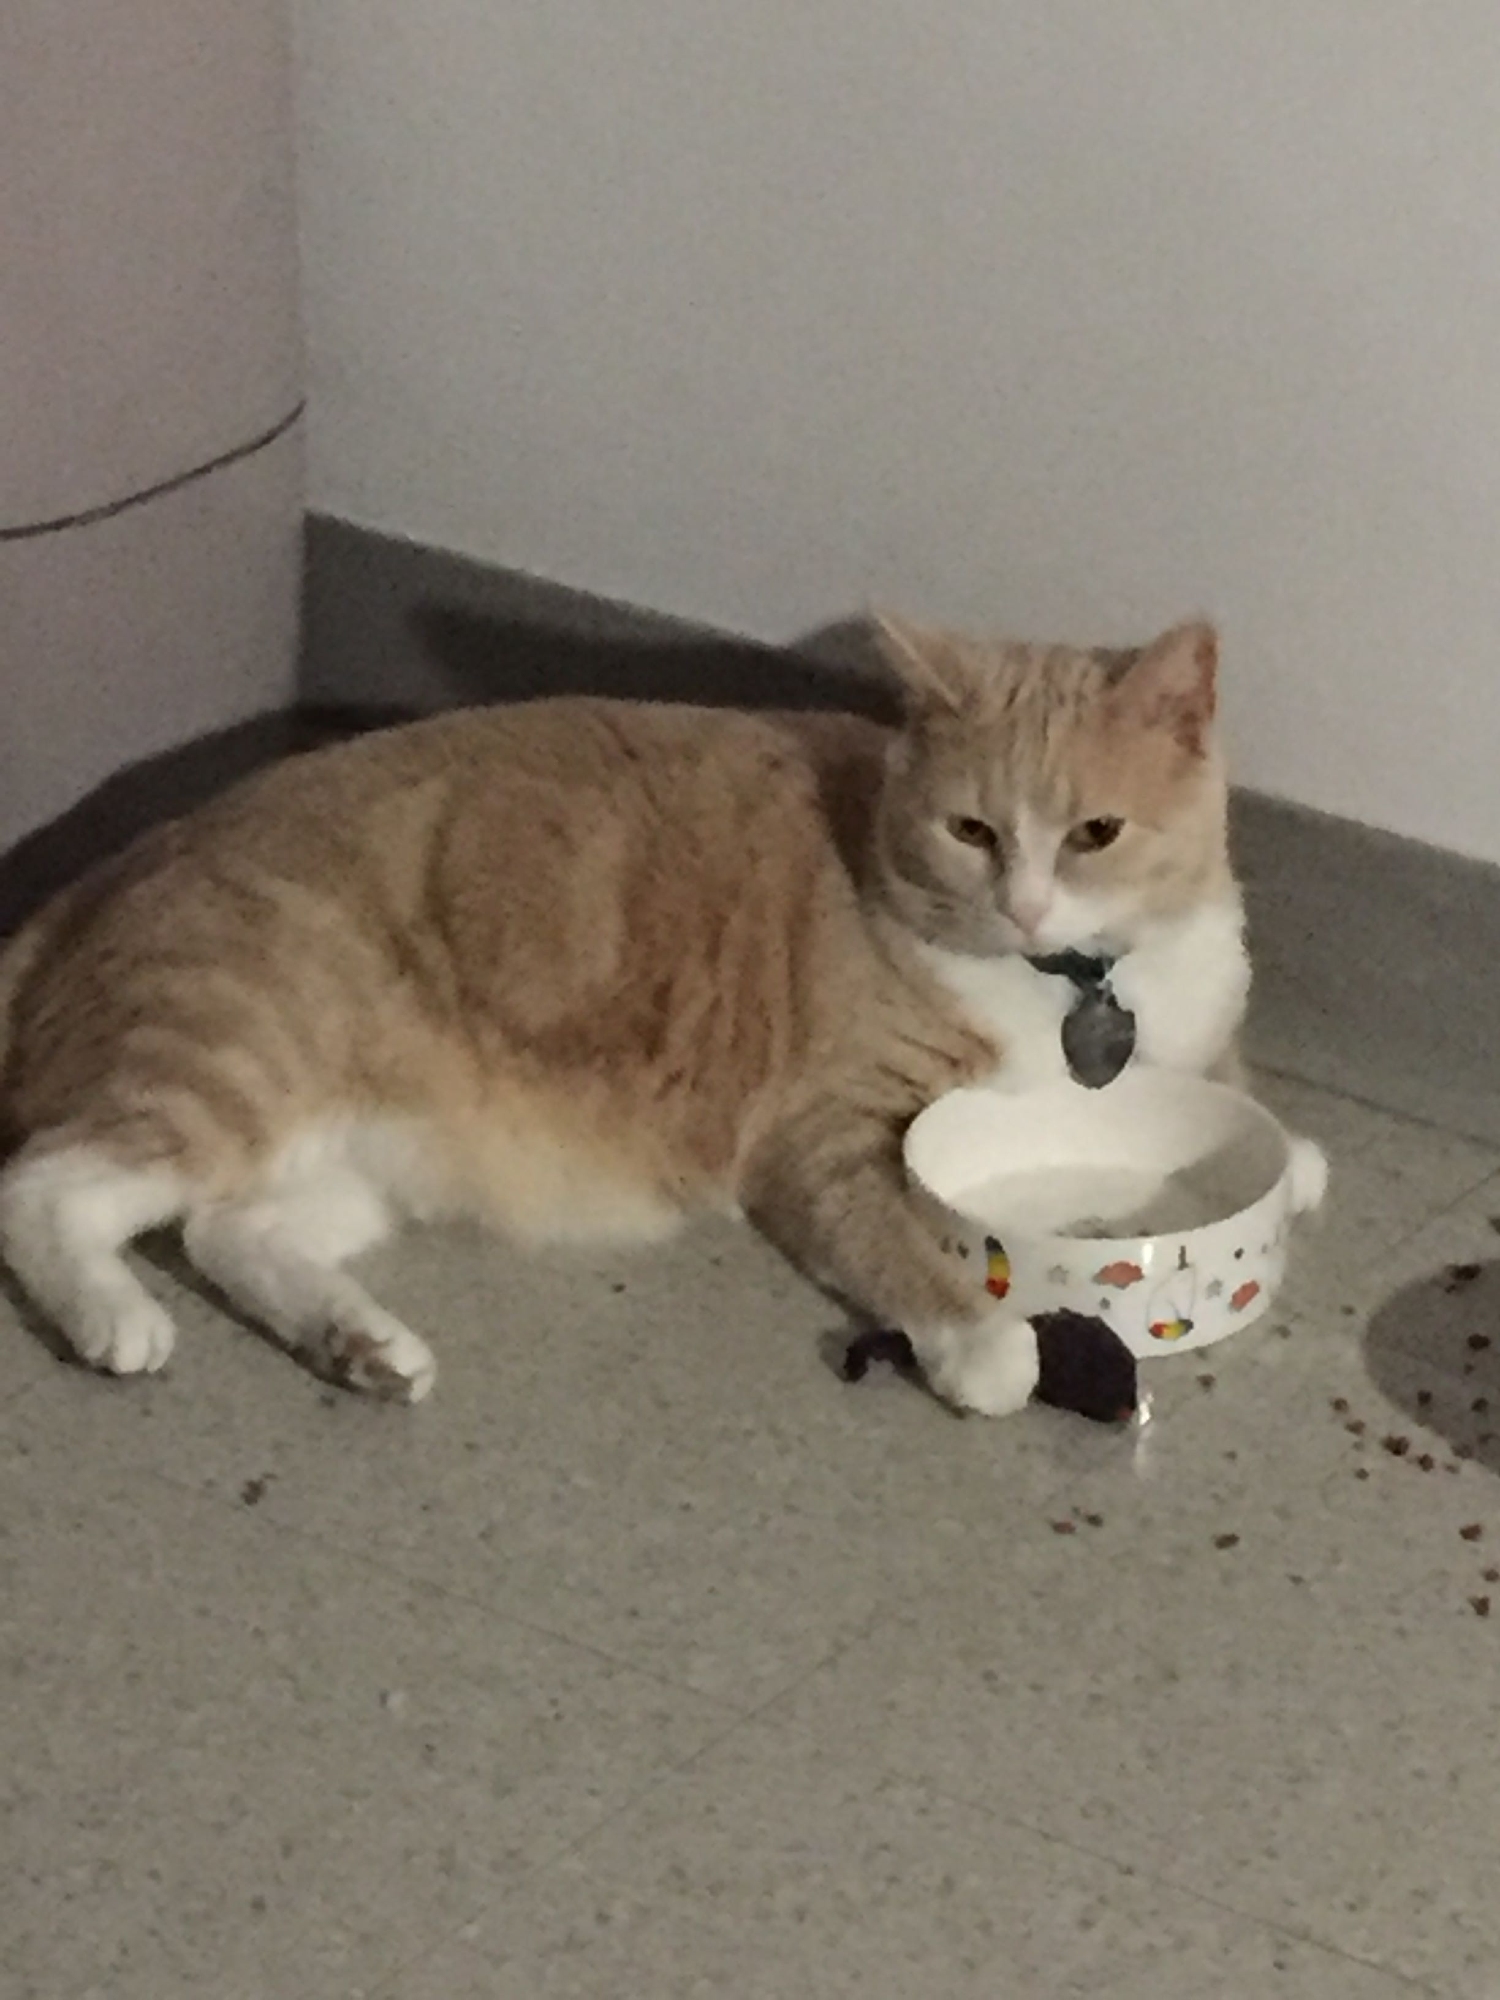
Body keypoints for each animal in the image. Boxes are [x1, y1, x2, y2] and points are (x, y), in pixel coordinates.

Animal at [0, 615, 1315, 1416]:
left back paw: (356, 1343)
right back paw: (117, 1318)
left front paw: (1292, 1154)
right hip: (237, 1062)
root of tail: (107, 866)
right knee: (44, 1189)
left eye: (1094, 831)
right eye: (972, 830)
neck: (1071, 982)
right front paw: (986, 1344)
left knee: (223, 1229)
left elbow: (1254, 1104)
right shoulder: (822, 1134)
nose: (1026, 900)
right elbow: (901, 1249)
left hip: (345, 1162)